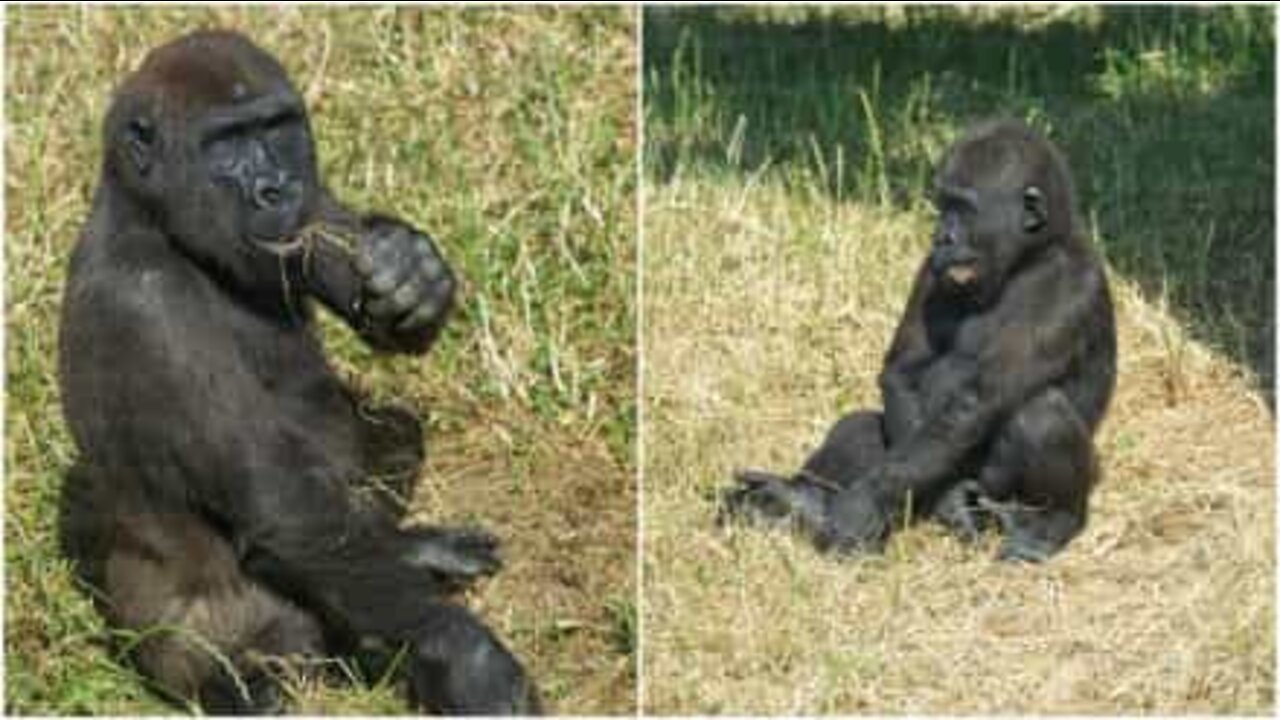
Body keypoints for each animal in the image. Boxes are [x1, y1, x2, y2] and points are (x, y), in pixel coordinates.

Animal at [57, 29, 537, 712]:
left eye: (278, 127)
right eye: (224, 143)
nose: (274, 187)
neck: (150, 221)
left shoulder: (301, 209)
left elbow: (335, 241)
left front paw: (412, 270)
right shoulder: (146, 306)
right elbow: (281, 512)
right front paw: (466, 654)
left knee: (384, 450)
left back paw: (412, 551)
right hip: (179, 650)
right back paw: (250, 686)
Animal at [727, 119, 1116, 561]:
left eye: (964, 208)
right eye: (943, 204)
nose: (941, 235)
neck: (1031, 255)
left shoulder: (1071, 286)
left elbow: (976, 401)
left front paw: (859, 506)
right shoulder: (932, 268)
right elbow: (902, 372)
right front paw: (927, 503)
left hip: (998, 493)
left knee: (1039, 413)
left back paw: (1055, 522)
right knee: (864, 428)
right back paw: (798, 500)